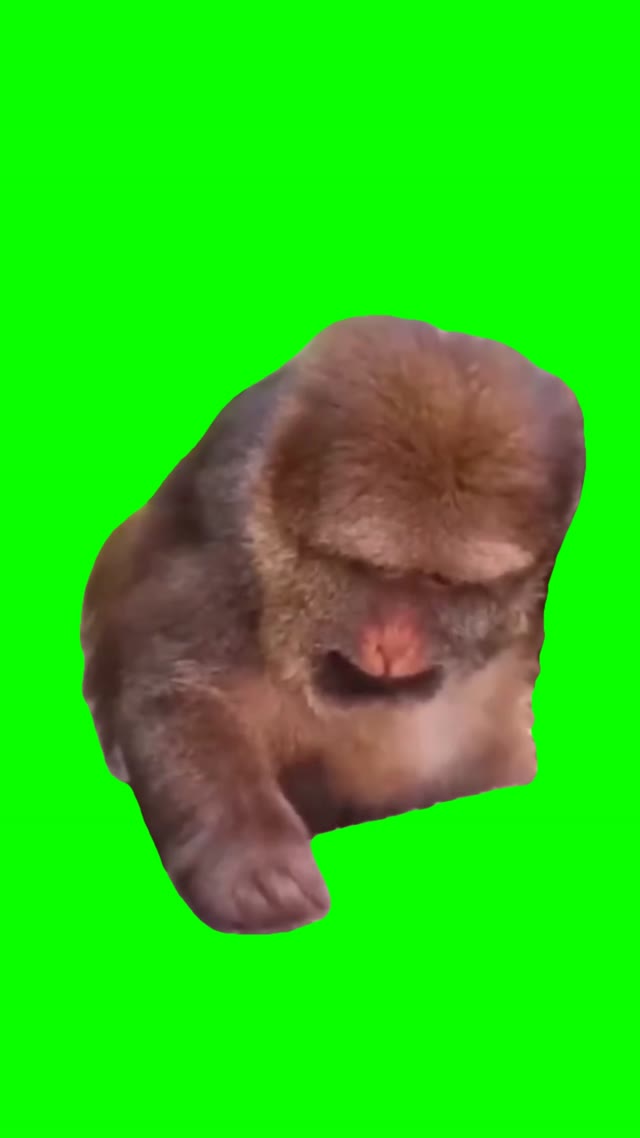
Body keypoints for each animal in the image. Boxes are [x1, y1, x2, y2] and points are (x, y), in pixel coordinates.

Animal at [81, 316, 585, 935]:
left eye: (441, 582)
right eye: (368, 569)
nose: (392, 641)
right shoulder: (227, 552)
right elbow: (180, 690)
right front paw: (258, 871)